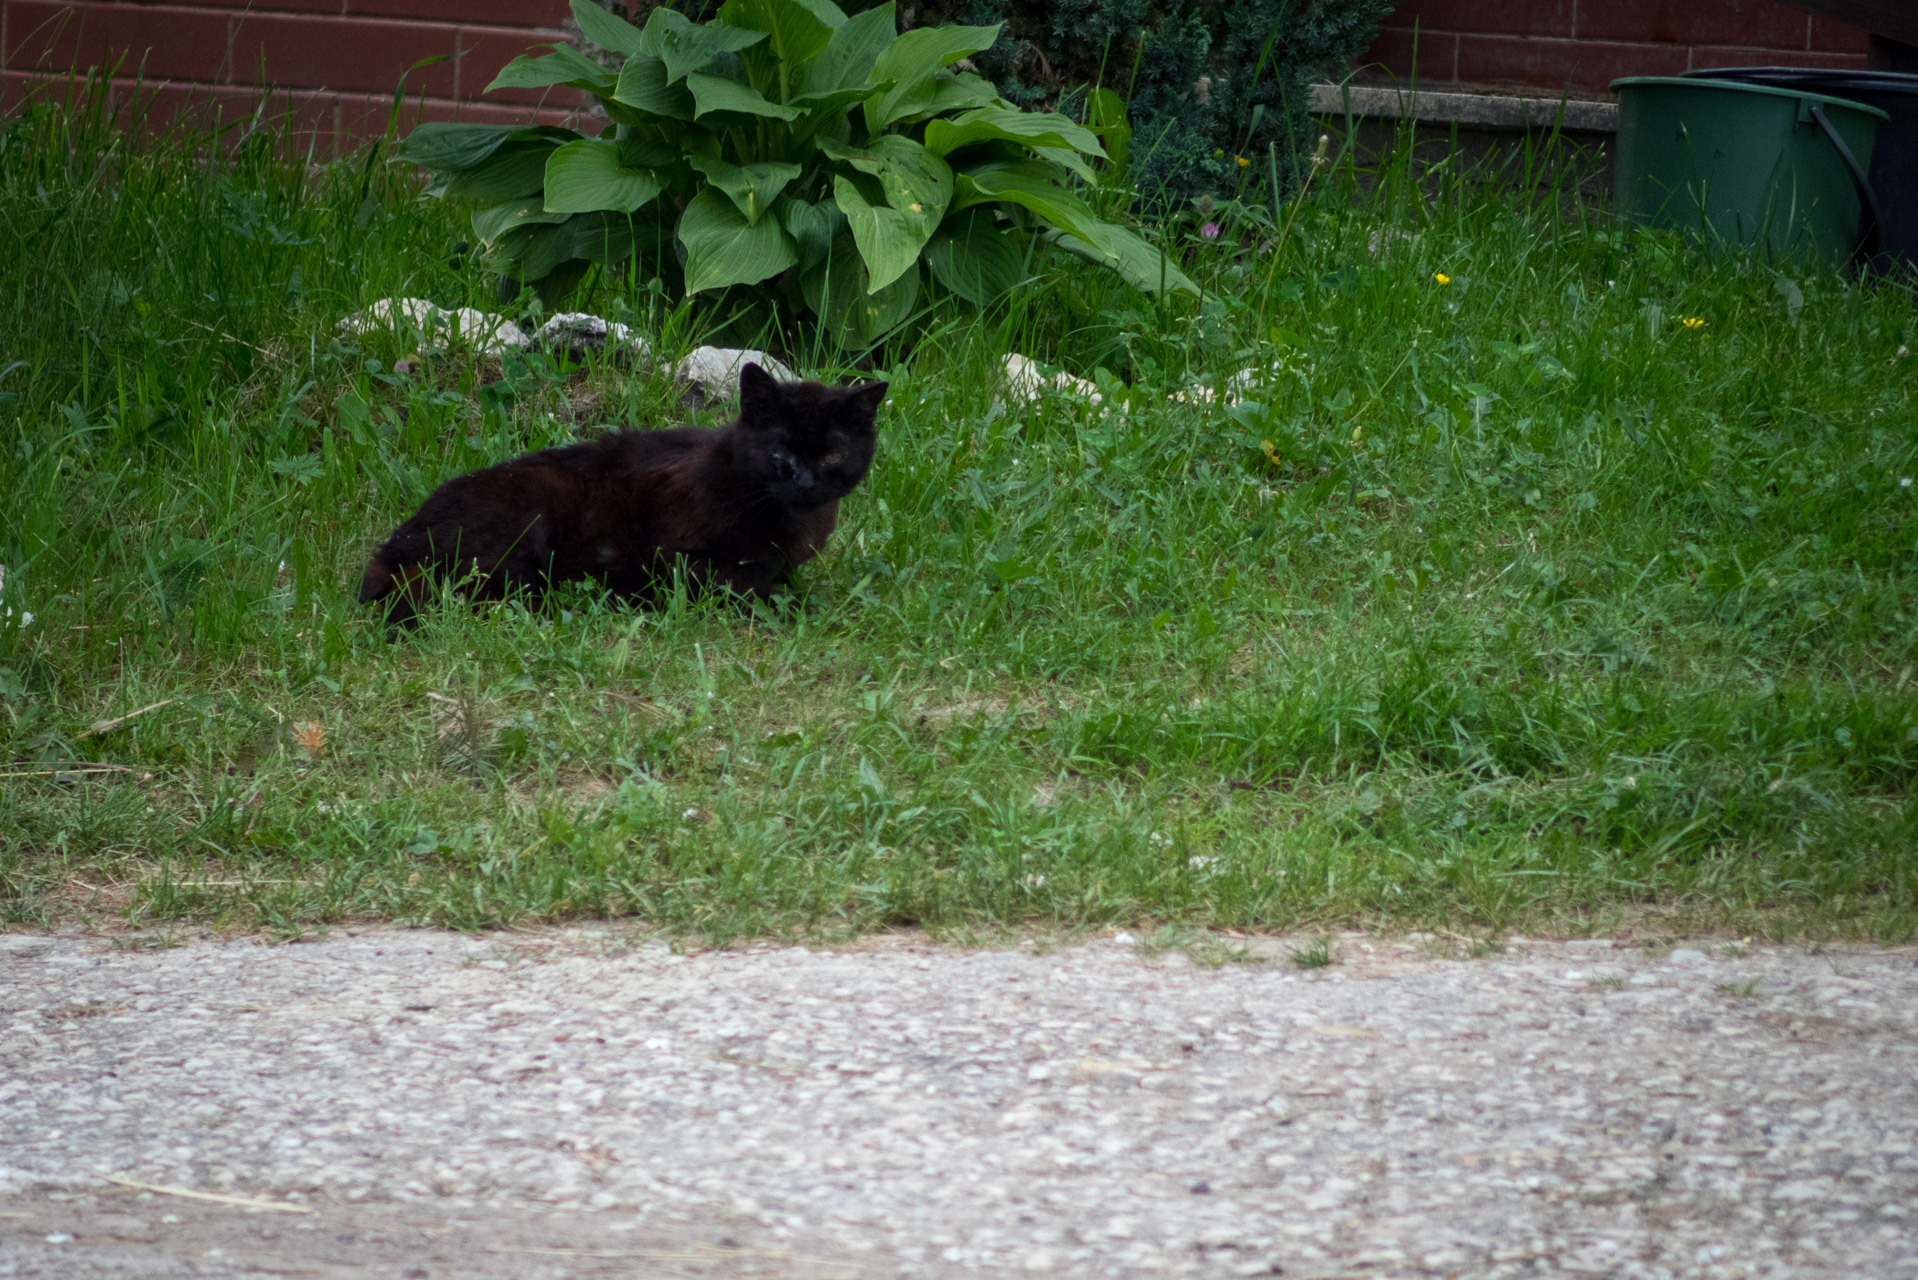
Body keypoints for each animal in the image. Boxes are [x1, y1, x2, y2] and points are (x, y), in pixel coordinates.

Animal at [358, 362, 882, 629]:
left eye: (833, 455)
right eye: (779, 451)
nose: (805, 481)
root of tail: (393, 547)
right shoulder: (679, 557)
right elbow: (752, 584)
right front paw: (803, 609)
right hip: (535, 512)